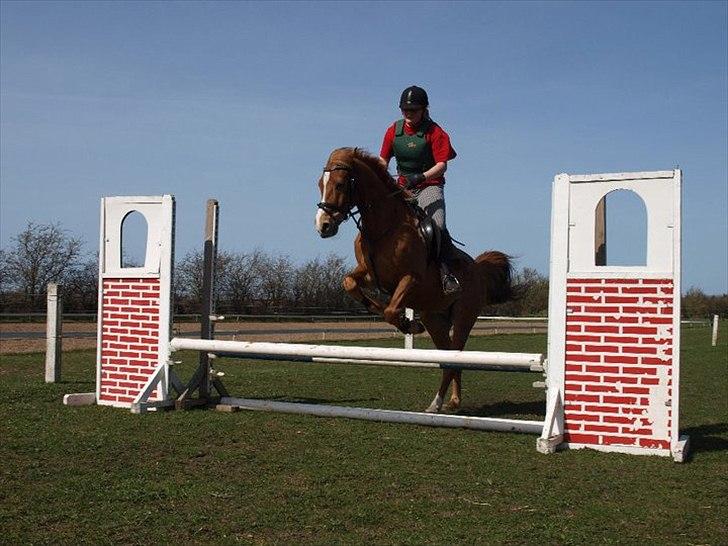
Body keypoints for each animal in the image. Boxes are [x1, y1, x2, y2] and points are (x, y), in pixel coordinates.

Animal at [312, 147, 512, 410]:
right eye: (320, 184)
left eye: (340, 184)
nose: (323, 226)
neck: (383, 228)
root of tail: (478, 269)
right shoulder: (369, 274)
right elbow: (350, 283)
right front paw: (396, 316)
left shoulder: (410, 278)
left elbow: (390, 310)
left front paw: (408, 324)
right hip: (435, 319)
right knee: (449, 358)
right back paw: (449, 401)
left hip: (463, 317)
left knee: (455, 355)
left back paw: (439, 403)